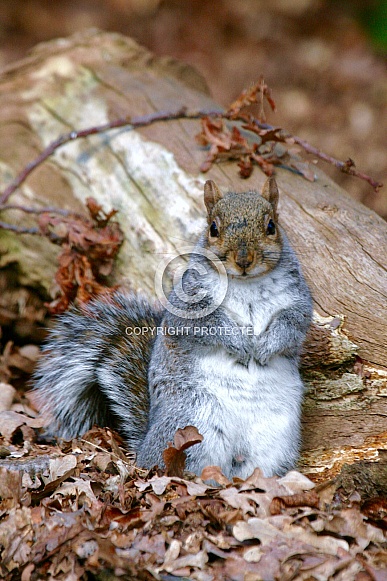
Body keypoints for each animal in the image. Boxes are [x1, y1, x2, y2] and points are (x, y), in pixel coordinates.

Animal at [33, 179, 314, 478]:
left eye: (271, 226)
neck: (246, 283)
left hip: (274, 439)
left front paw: (264, 348)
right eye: (213, 228)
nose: (243, 259)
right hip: (193, 419)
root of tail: (144, 448)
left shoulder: (298, 302)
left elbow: (292, 325)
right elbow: (205, 327)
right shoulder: (189, 306)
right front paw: (239, 344)